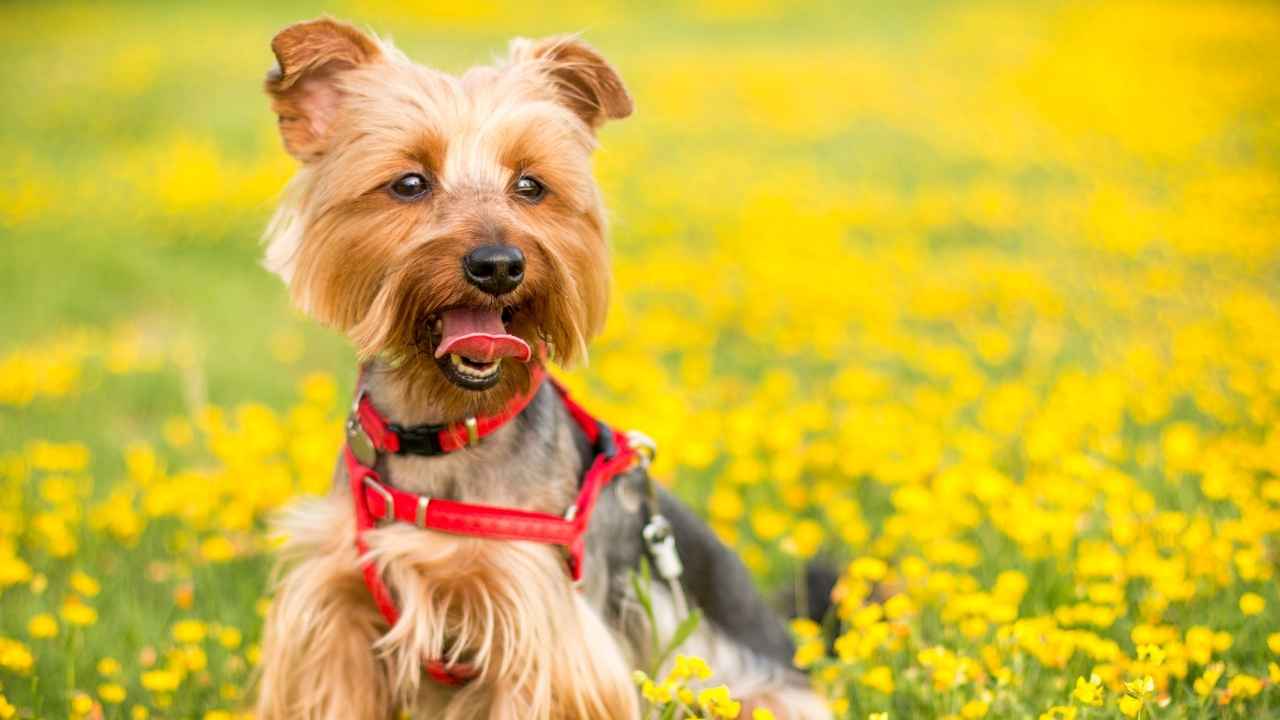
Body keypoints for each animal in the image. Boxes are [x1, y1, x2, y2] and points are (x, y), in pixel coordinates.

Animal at [252, 18, 829, 717]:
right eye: (409, 183)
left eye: (531, 186)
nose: (499, 263)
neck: (444, 430)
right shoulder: (335, 611)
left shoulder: (539, 624)